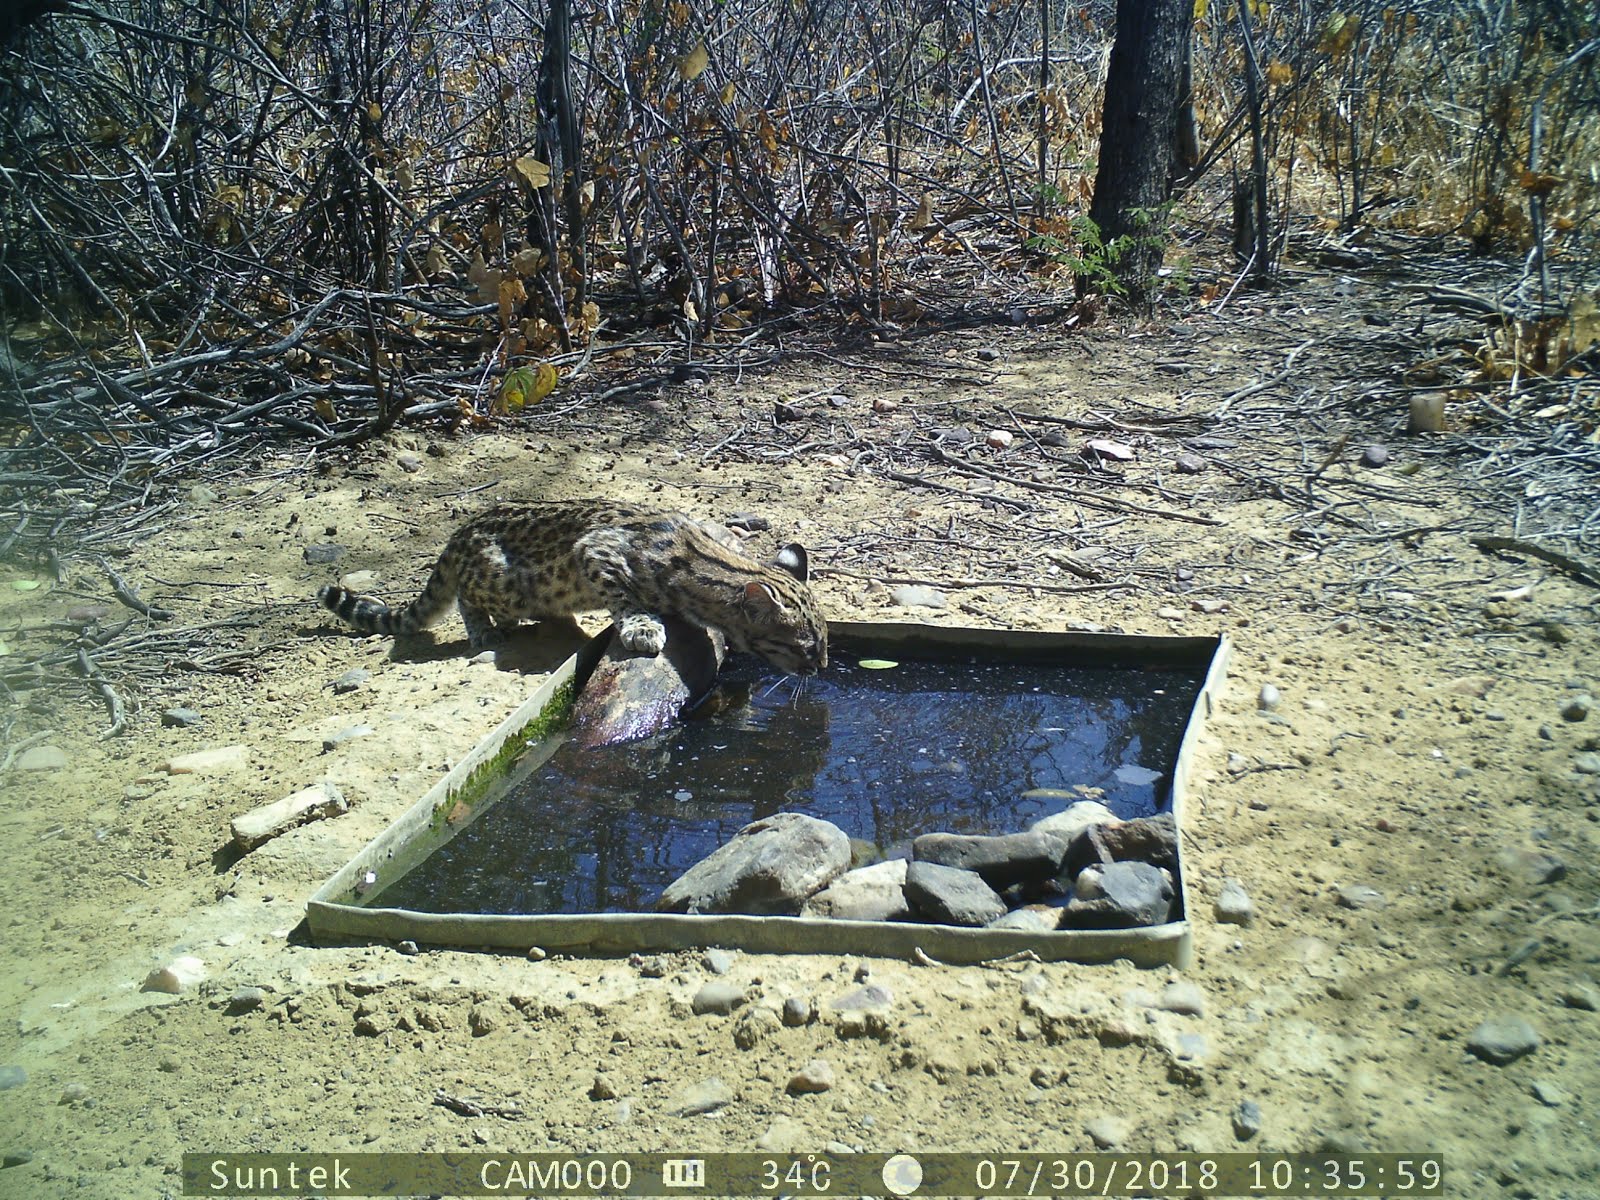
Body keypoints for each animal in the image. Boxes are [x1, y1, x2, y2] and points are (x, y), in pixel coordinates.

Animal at [318, 499, 832, 678]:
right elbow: (626, 598)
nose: (823, 668)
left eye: (826, 641)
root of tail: (462, 531)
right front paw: (643, 628)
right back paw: (484, 631)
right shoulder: (596, 550)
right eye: (805, 648)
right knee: (466, 596)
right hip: (503, 581)